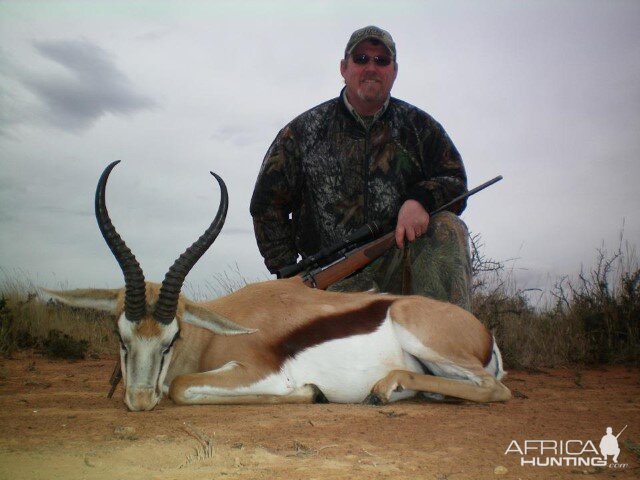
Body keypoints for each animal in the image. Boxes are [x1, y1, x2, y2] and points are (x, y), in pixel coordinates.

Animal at [43, 162, 510, 412]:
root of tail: (484, 334)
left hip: (421, 333)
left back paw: (382, 389)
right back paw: (388, 391)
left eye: (171, 338)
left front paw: (311, 391)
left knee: (495, 389)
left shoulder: (254, 371)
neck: (211, 336)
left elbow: (180, 387)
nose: (139, 401)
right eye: (119, 336)